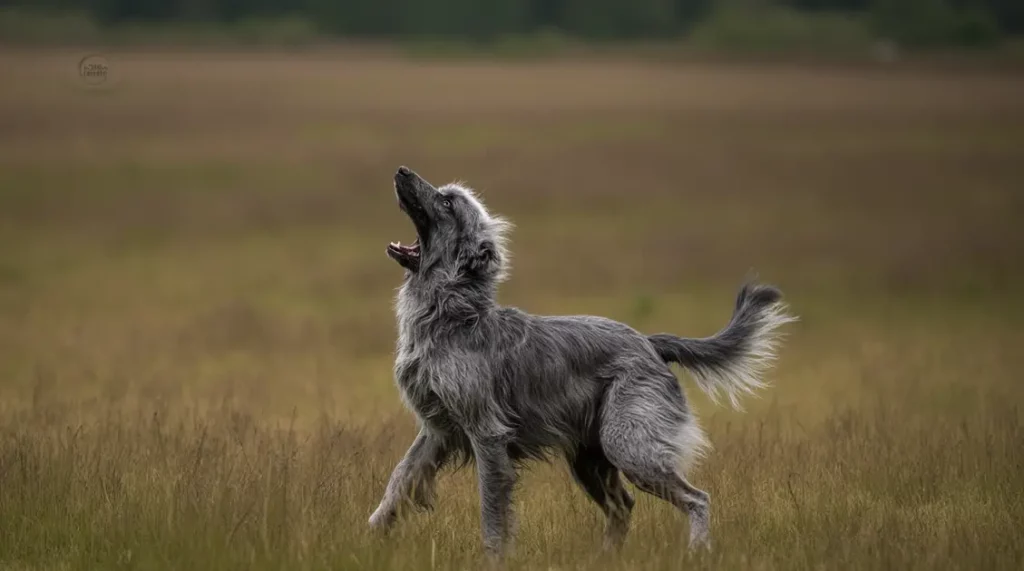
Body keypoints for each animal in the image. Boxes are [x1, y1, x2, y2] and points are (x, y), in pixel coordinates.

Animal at [370, 165, 798, 560]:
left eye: (447, 203)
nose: (402, 171)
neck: (452, 315)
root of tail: (649, 343)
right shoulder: (437, 431)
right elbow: (398, 482)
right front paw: (371, 535)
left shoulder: (487, 436)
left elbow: (492, 514)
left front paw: (494, 559)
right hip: (589, 458)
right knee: (623, 507)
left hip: (628, 445)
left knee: (697, 499)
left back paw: (696, 551)